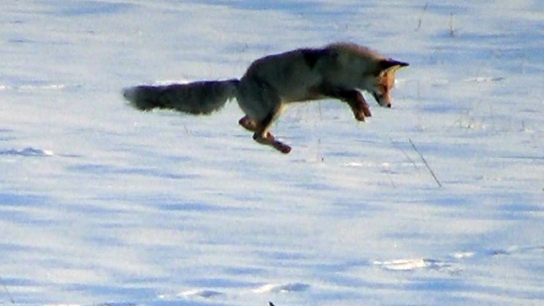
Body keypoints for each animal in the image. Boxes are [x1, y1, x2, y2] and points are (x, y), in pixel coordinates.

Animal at [121, 41, 406, 154]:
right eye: (385, 87)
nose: (390, 105)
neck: (345, 65)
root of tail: (239, 82)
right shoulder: (327, 86)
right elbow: (354, 94)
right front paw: (362, 111)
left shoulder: (331, 89)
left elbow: (353, 94)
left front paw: (362, 111)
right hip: (276, 107)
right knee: (256, 134)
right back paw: (280, 146)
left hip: (272, 109)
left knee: (247, 124)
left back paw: (276, 141)